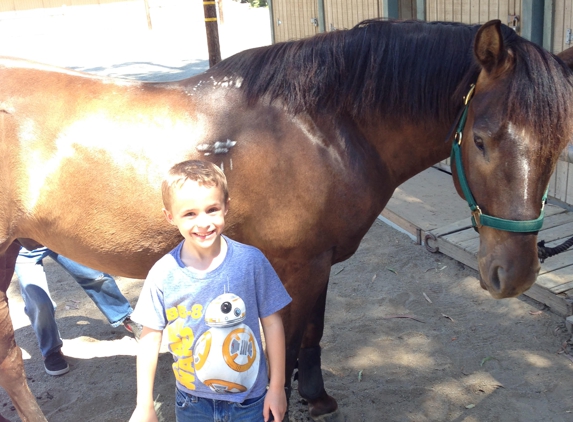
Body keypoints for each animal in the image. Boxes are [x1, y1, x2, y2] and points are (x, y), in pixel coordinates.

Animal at [1, 19, 572, 422]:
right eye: (481, 139)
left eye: (559, 144)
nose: (514, 274)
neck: (321, 127)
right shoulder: (298, 263)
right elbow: (289, 339)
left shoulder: (318, 261)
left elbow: (311, 333)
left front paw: (315, 396)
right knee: (10, 361)